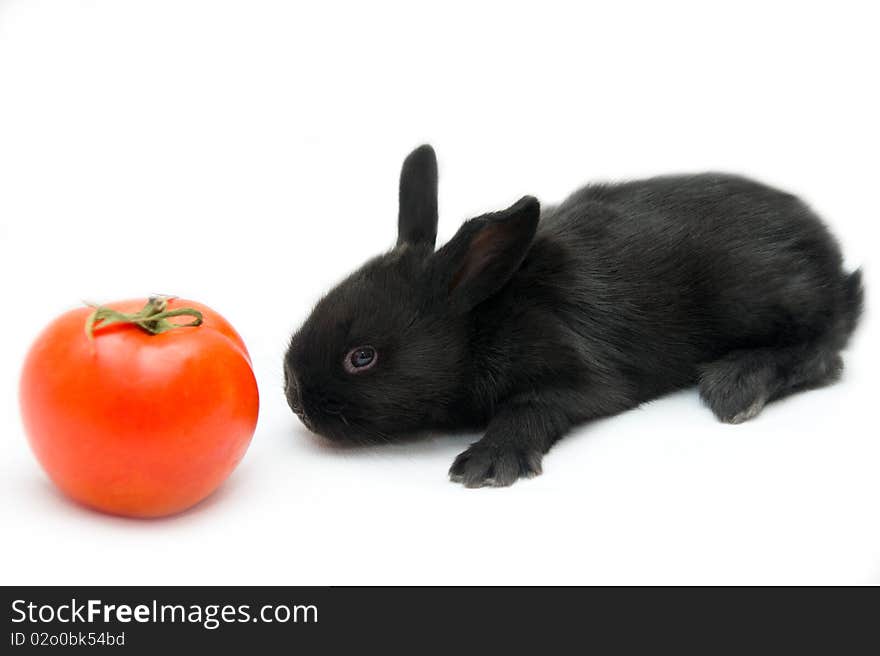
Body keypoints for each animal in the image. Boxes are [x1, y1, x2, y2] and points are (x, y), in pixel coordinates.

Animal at [286, 145, 864, 486]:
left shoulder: (579, 377)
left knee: (824, 349)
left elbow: (530, 408)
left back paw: (737, 384)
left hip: (760, 295)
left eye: (362, 357)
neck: (482, 320)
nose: (295, 399)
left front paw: (488, 462)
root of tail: (832, 257)